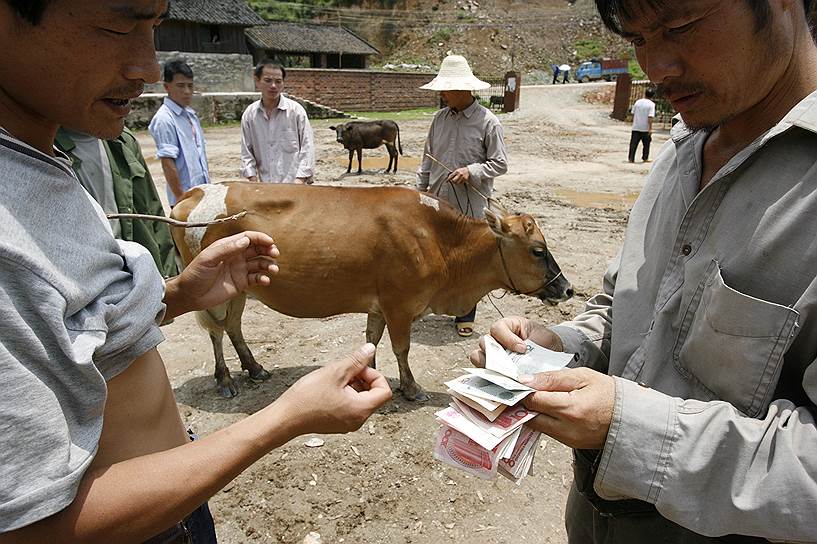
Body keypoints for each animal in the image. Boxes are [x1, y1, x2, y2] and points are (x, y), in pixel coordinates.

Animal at [169, 183, 572, 400]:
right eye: (538, 250)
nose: (566, 289)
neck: (440, 239)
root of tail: (194, 192)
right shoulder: (399, 305)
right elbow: (401, 347)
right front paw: (410, 388)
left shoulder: (379, 306)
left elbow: (371, 340)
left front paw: (369, 373)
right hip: (214, 289)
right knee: (216, 331)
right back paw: (225, 379)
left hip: (239, 289)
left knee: (233, 327)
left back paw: (254, 369)